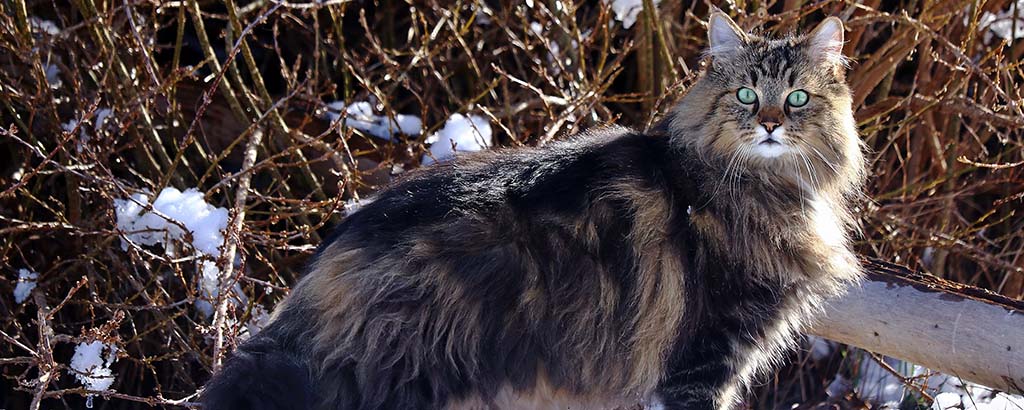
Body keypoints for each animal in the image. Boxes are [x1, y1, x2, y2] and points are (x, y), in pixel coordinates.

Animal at [203, 12, 868, 410]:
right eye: (747, 95)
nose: (771, 123)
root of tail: (333, 259)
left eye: (798, 97)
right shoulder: (706, 356)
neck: (766, 189)